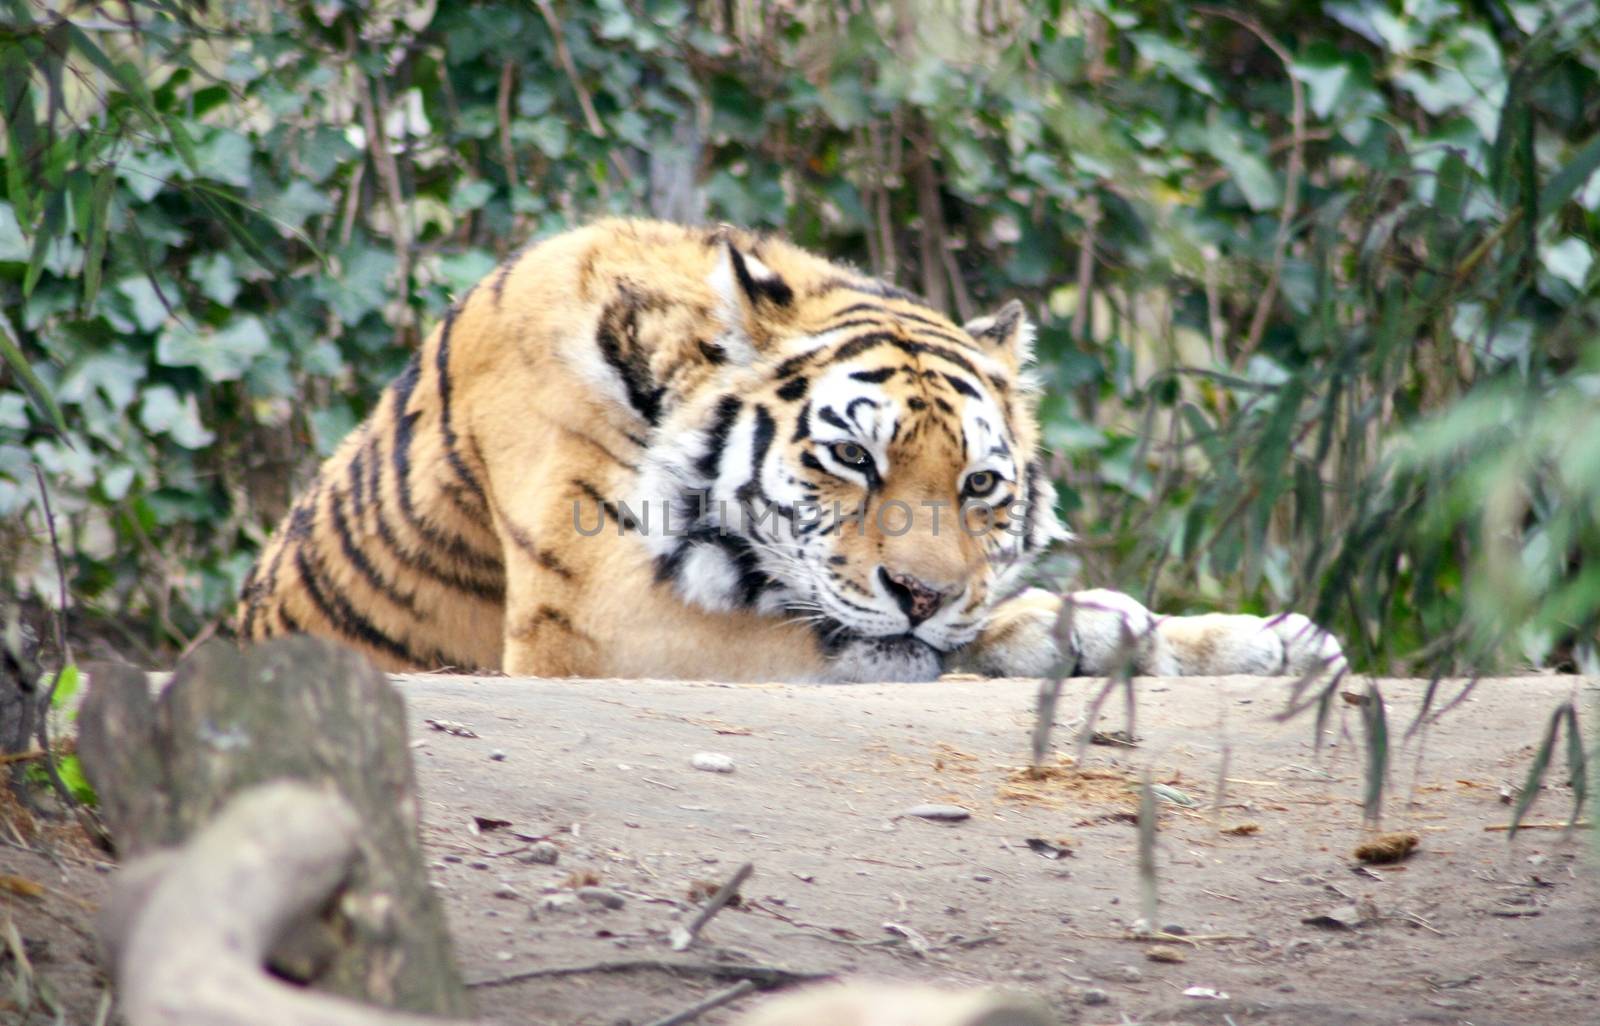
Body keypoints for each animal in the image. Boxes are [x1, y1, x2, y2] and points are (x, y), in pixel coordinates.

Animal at [232, 217, 1344, 678]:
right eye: (852, 459)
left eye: (982, 483)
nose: (923, 592)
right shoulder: (594, 620)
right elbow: (861, 631)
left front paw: (1262, 638)